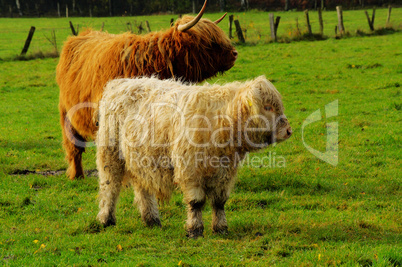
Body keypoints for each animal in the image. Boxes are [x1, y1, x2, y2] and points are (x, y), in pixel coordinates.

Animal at [96, 75, 292, 239]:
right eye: (267, 107)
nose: (289, 131)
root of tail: (122, 82)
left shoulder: (225, 173)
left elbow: (219, 202)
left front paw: (221, 228)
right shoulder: (190, 171)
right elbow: (195, 202)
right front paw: (195, 230)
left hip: (139, 161)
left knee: (143, 189)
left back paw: (151, 220)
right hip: (111, 155)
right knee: (110, 187)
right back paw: (106, 219)